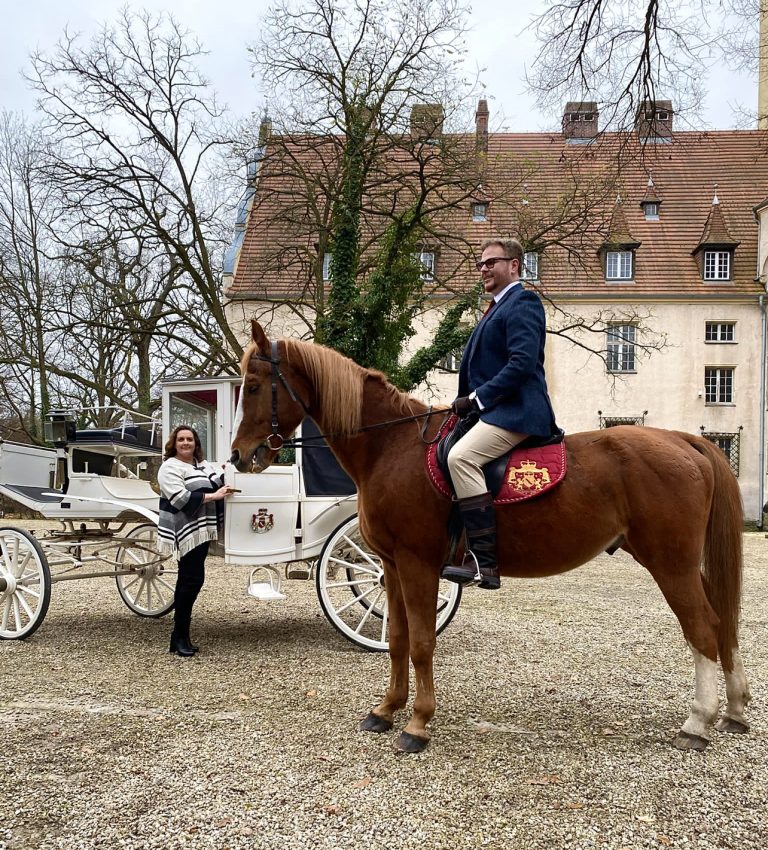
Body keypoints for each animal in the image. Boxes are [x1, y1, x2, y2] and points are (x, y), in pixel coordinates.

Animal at [230, 322, 752, 752]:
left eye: (253, 386)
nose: (239, 456)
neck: (390, 447)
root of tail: (684, 439)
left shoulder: (418, 563)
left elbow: (422, 642)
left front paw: (417, 724)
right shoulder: (391, 566)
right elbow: (396, 638)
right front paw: (386, 709)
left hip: (671, 563)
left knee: (703, 627)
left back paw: (697, 723)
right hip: (683, 564)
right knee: (721, 623)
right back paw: (733, 710)